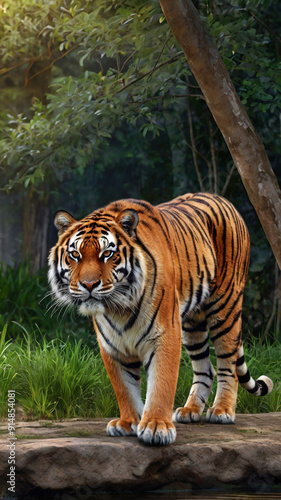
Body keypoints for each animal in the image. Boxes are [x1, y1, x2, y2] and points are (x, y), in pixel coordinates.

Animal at [47, 193, 272, 448]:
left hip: (225, 307)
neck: (118, 308)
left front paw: (156, 426)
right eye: (75, 255)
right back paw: (190, 410)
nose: (88, 284)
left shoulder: (165, 335)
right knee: (206, 368)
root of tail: (223, 199)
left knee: (228, 364)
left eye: (107, 254)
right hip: (193, 324)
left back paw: (222, 410)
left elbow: (161, 383)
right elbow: (124, 387)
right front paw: (128, 422)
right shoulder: (112, 346)